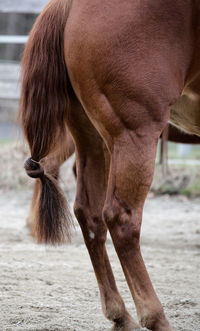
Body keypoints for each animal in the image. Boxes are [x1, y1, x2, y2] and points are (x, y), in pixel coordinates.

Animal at [18, 0, 200, 331]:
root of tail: (67, 5)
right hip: (134, 133)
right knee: (120, 218)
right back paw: (154, 317)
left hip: (90, 135)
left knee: (88, 213)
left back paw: (120, 315)